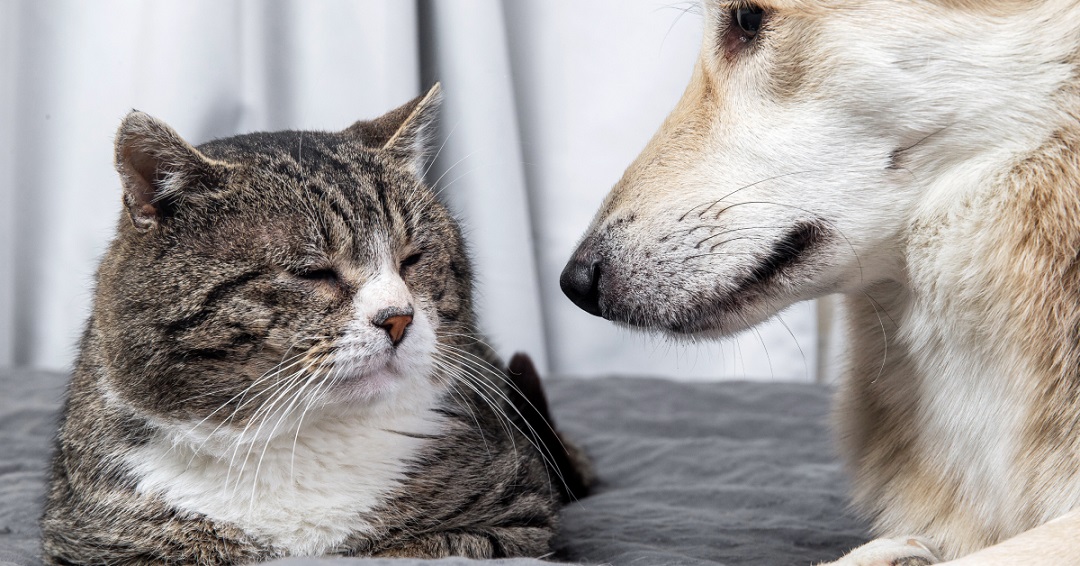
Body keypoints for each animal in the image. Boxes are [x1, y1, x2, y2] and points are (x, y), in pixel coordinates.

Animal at [40, 84, 591, 565]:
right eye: (314, 272)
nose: (399, 318)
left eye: (412, 259)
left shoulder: (519, 520)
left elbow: (419, 548)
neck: (297, 442)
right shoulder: (91, 542)